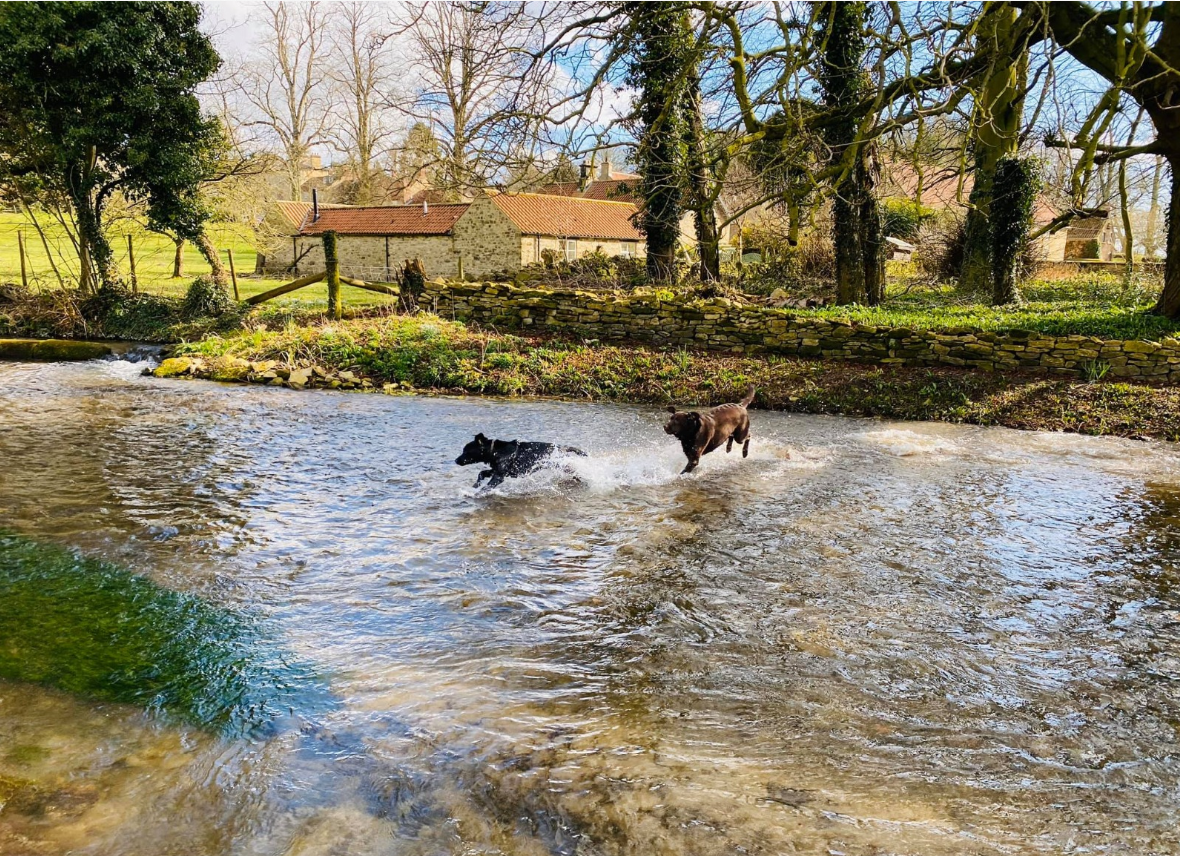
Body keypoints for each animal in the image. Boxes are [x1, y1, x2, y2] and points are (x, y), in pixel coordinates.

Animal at [453, 434, 587, 486]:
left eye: (466, 451)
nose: (455, 460)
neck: (496, 451)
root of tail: (561, 447)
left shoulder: (498, 477)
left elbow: (487, 487)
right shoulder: (496, 470)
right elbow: (481, 473)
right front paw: (475, 485)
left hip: (562, 465)